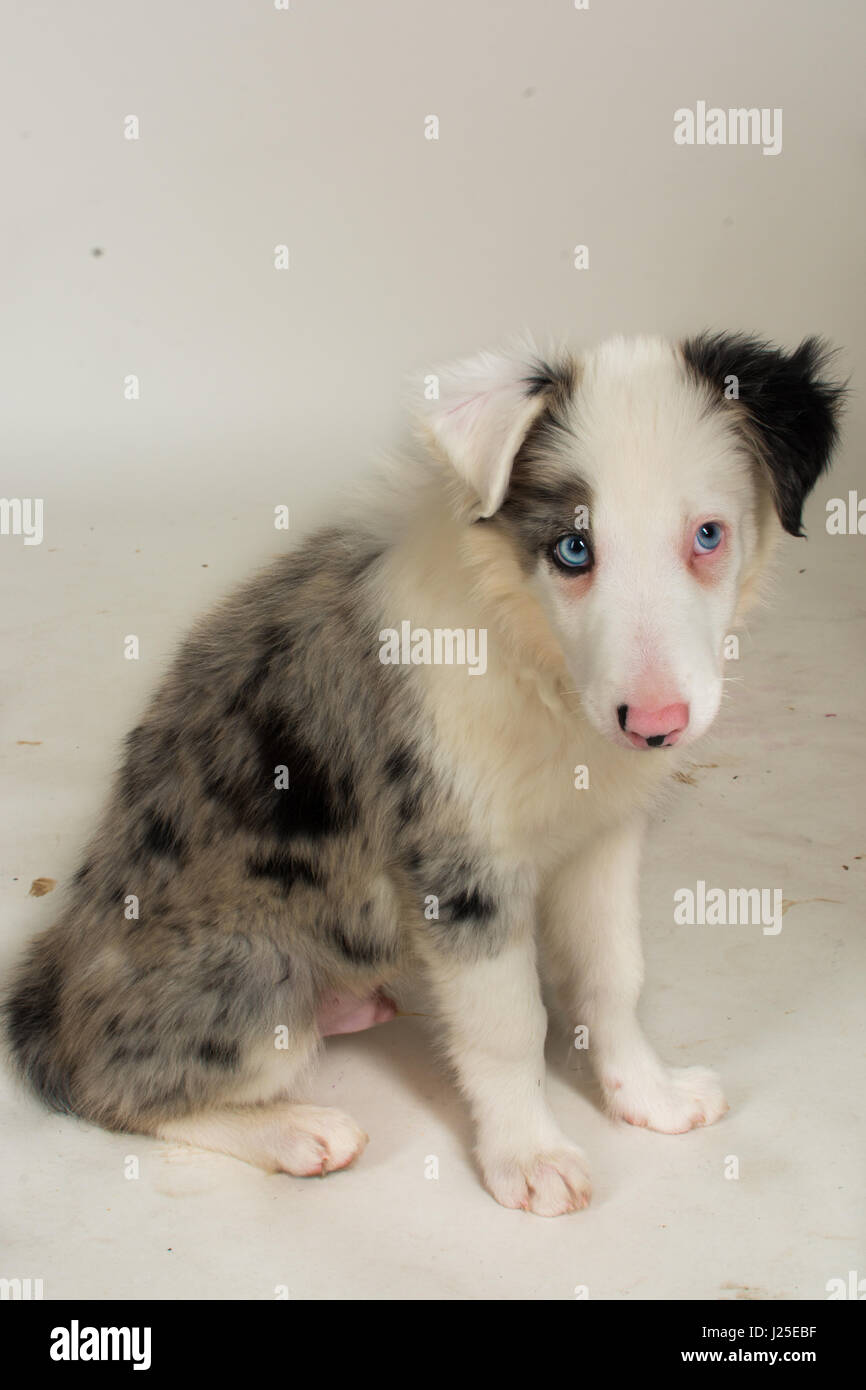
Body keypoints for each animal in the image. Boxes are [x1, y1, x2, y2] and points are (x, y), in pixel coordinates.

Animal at [3, 330, 845, 1212]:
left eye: (708, 536)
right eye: (573, 549)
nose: (655, 727)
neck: (536, 664)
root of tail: (50, 980)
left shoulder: (603, 837)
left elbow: (615, 976)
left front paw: (647, 1094)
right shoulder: (459, 866)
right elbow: (511, 1027)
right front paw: (529, 1154)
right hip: (253, 971)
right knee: (113, 1087)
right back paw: (294, 1130)